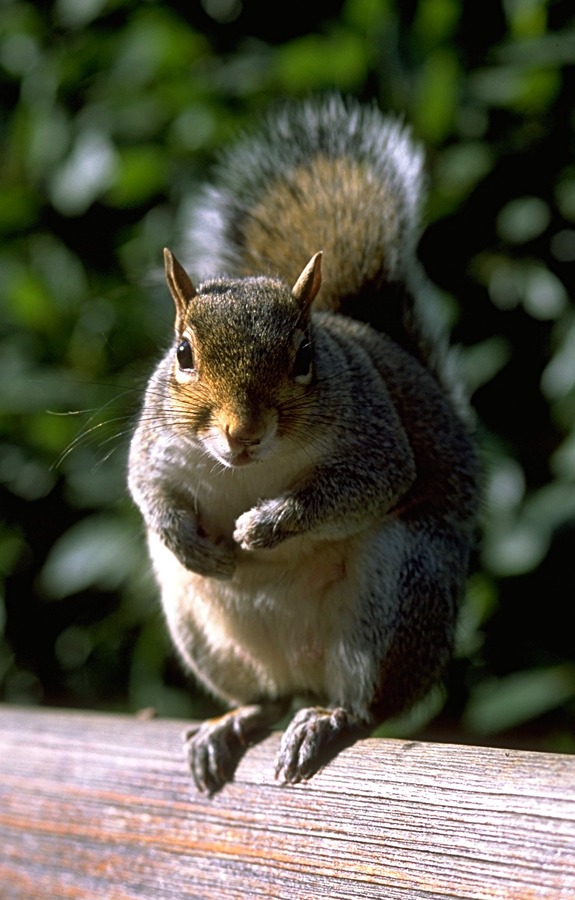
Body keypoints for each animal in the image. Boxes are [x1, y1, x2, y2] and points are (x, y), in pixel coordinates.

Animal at [128, 95, 480, 792]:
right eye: (182, 353)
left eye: (305, 358)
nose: (242, 433)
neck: (247, 470)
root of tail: (305, 671)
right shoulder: (155, 445)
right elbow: (147, 490)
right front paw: (191, 542)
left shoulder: (374, 439)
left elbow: (369, 484)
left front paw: (263, 527)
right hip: (200, 630)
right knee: (269, 697)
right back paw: (231, 723)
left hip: (402, 591)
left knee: (367, 703)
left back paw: (329, 719)